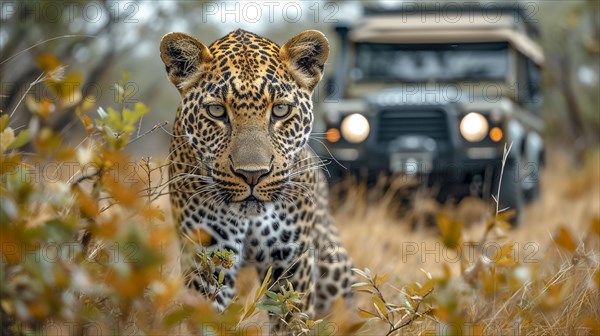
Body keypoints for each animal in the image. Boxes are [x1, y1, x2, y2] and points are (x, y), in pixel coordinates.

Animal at [159, 29, 356, 328]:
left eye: (281, 110)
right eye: (217, 111)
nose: (252, 174)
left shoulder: (292, 264)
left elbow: (291, 320)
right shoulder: (207, 260)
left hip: (335, 270)